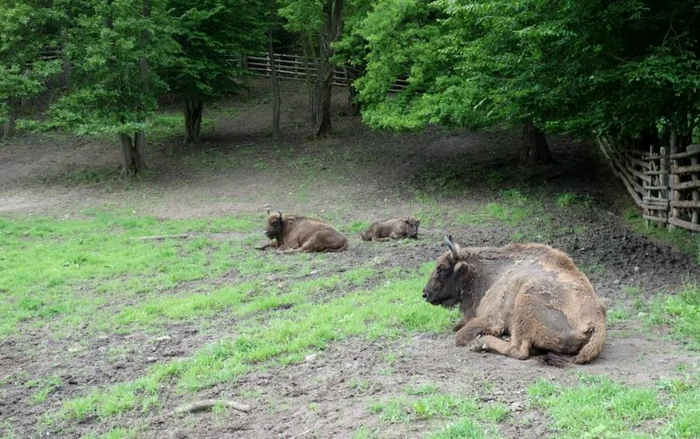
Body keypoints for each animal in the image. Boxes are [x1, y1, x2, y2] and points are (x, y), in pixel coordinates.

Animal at [422, 235, 608, 366]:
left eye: (442, 269)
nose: (425, 294)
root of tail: (596, 322)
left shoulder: (492, 319)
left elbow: (460, 335)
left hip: (525, 300)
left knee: (517, 349)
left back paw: (481, 343)